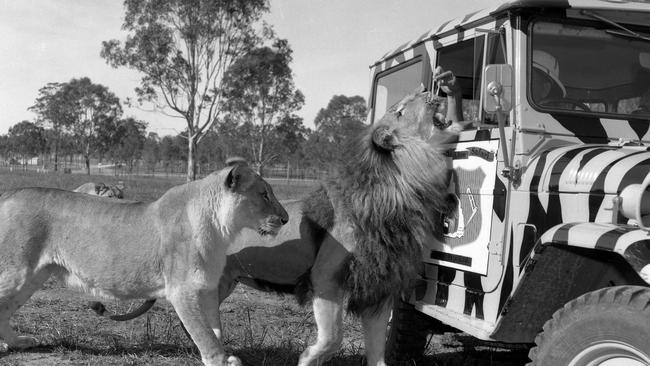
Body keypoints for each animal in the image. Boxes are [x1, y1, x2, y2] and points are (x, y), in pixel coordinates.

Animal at [0, 163, 286, 366]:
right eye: (264, 194)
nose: (286, 218)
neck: (222, 230)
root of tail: (9, 193)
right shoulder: (182, 290)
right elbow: (205, 336)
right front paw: (220, 360)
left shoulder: (206, 288)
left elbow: (215, 330)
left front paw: (226, 355)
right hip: (17, 272)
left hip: (32, 277)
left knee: (5, 310)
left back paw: (17, 342)